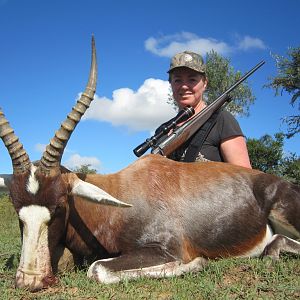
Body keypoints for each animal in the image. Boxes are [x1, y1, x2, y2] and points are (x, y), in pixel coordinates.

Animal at [0, 37, 300, 290]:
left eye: (60, 205)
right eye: (17, 208)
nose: (30, 280)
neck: (117, 201)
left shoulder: (165, 249)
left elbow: (97, 269)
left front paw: (197, 263)